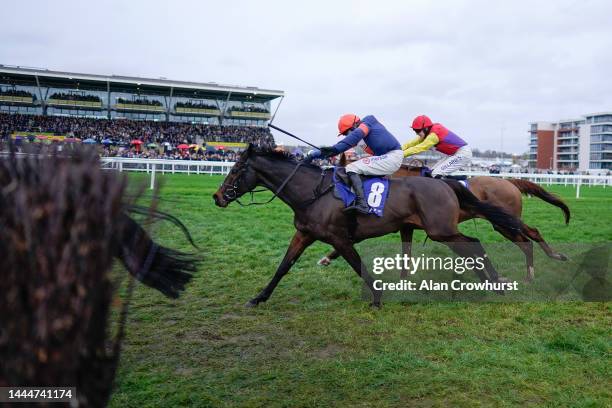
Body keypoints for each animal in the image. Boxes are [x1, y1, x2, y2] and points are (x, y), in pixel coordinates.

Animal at [213, 145, 524, 308]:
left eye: (237, 170)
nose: (217, 197)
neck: (313, 193)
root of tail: (445, 182)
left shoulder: (340, 239)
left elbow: (359, 266)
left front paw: (377, 297)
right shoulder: (304, 234)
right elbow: (283, 266)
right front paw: (259, 297)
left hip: (441, 230)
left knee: (473, 244)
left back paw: (495, 284)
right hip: (441, 230)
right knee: (472, 247)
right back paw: (491, 283)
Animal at [318, 155, 572, 282]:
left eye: (341, 170)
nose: (337, 189)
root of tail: (510, 181)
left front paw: (326, 257)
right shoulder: (405, 225)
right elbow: (403, 252)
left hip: (503, 222)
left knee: (529, 236)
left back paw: (538, 267)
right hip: (502, 223)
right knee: (529, 236)